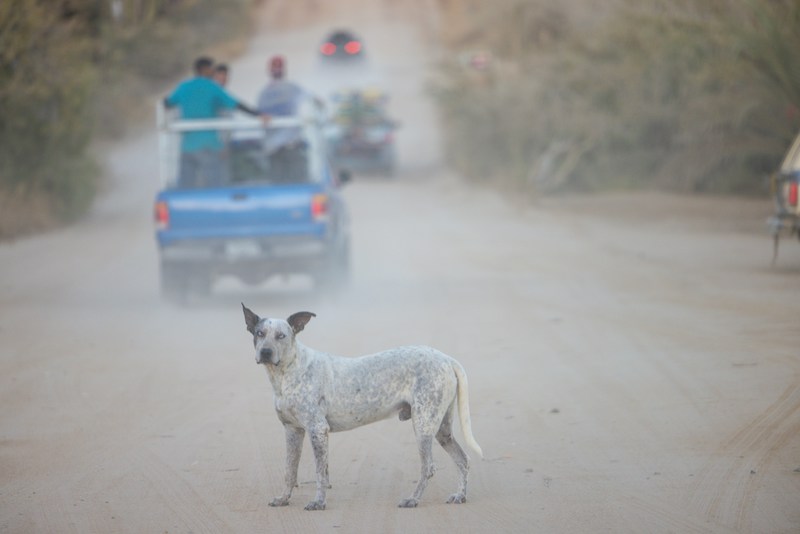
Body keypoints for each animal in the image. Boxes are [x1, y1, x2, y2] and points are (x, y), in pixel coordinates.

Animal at [241, 306, 484, 510]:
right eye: (259, 333)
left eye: (281, 336)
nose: (265, 352)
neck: (287, 371)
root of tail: (446, 358)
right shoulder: (293, 431)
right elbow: (290, 471)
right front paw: (284, 499)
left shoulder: (317, 429)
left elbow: (320, 473)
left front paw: (318, 502)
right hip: (442, 430)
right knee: (463, 460)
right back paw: (460, 495)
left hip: (423, 426)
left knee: (429, 468)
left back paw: (413, 499)